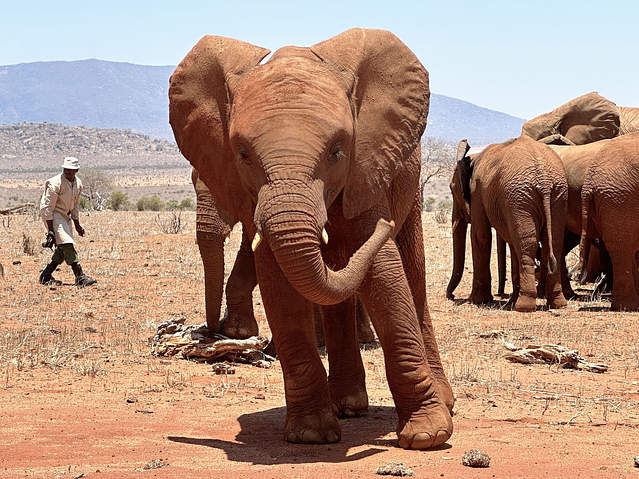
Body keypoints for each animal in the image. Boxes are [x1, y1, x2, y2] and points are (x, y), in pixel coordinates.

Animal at [168, 30, 452, 450]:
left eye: (338, 150)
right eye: (242, 153)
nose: (208, 331)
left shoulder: (365, 167)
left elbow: (385, 274)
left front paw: (428, 436)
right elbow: (278, 280)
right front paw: (311, 435)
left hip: (408, 183)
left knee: (411, 276)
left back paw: (442, 403)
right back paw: (347, 406)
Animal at [450, 137, 568, 314]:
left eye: (451, 190)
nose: (451, 296)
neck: (473, 158)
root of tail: (544, 182)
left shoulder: (477, 192)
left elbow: (480, 236)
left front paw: (477, 301)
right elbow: (512, 242)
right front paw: (507, 301)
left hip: (521, 198)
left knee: (527, 245)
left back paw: (523, 307)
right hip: (556, 196)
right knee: (553, 242)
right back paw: (558, 304)